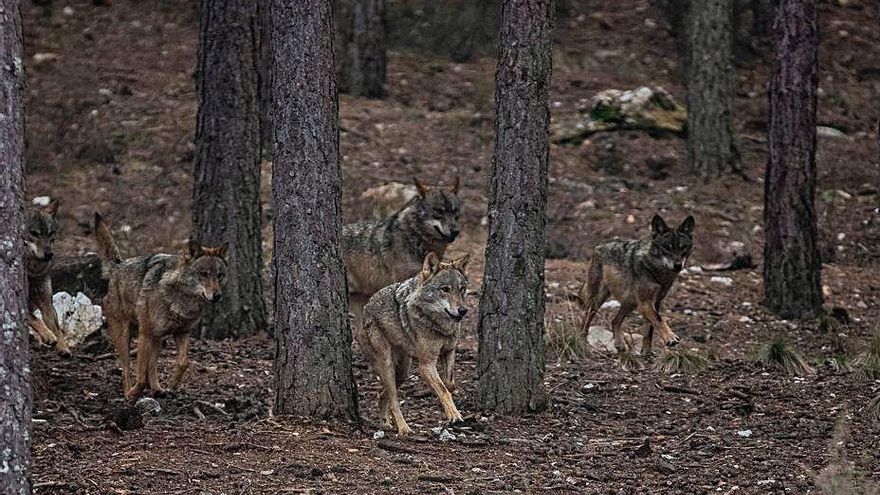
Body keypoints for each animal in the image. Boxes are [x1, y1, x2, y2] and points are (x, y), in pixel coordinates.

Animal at [25, 198, 70, 352]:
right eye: (34, 233)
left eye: (50, 233)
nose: (50, 254)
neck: (33, 272)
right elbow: (34, 318)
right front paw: (48, 335)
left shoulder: (46, 303)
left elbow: (57, 328)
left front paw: (64, 347)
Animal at [93, 215, 229, 402]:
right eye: (204, 274)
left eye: (220, 275)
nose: (217, 296)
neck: (182, 300)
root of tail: (118, 266)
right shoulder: (145, 334)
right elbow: (141, 376)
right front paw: (134, 393)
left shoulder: (182, 332)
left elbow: (183, 362)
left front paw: (172, 384)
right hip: (125, 335)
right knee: (126, 367)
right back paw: (128, 393)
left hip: (157, 338)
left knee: (152, 366)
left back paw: (157, 389)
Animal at [356, 254, 470, 436]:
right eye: (445, 289)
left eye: (461, 289)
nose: (463, 310)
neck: (440, 327)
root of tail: (367, 306)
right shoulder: (426, 364)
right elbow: (443, 390)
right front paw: (454, 414)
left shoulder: (449, 351)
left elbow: (449, 384)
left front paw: (447, 408)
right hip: (388, 366)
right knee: (394, 399)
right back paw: (403, 428)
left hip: (403, 372)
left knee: (382, 394)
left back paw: (385, 423)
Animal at [576, 215, 696, 354]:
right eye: (667, 247)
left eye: (683, 247)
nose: (677, 265)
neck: (657, 272)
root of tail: (599, 246)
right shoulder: (645, 302)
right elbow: (659, 319)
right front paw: (670, 338)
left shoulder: (655, 302)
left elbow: (650, 329)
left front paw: (647, 352)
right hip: (598, 300)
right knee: (587, 319)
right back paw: (582, 341)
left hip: (630, 303)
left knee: (615, 321)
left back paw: (620, 345)